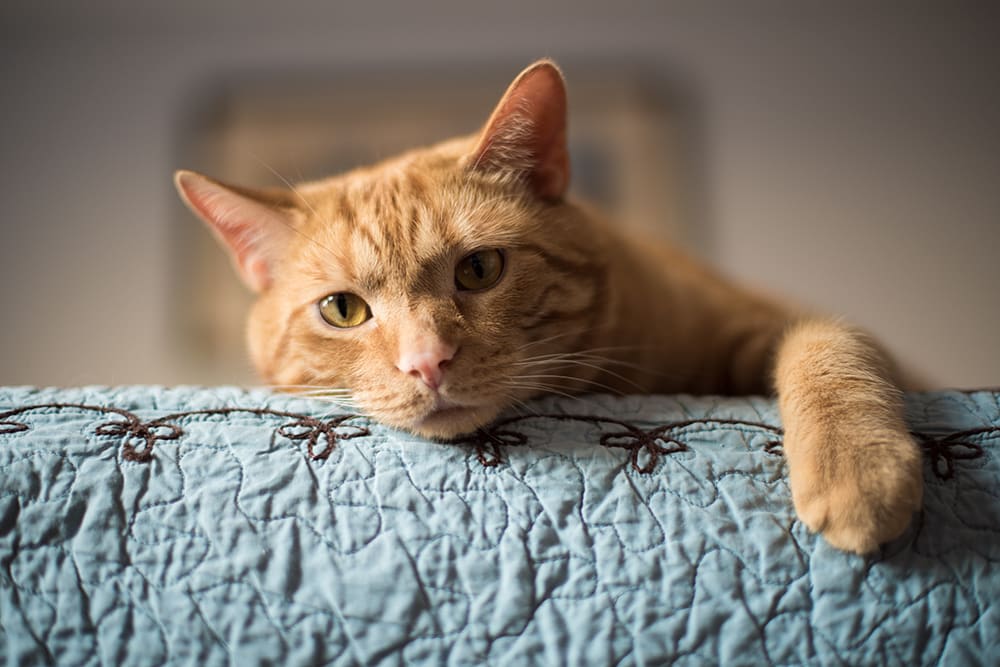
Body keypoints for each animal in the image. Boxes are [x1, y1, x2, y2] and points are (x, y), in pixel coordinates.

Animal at [176, 61, 924, 552]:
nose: (427, 362)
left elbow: (828, 351)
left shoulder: (783, 321)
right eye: (342, 309)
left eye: (479, 269)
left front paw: (859, 469)